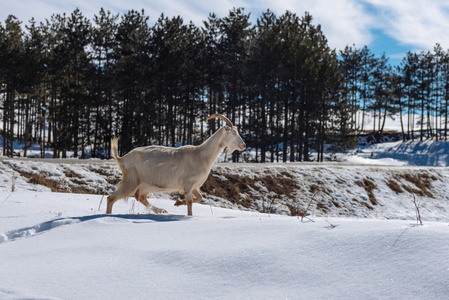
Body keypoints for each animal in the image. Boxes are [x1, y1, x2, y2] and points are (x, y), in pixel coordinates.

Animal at [106, 114, 245, 216]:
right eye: (233, 133)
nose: (243, 145)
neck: (201, 154)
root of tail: (122, 159)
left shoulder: (193, 186)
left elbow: (199, 198)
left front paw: (178, 202)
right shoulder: (188, 184)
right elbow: (190, 202)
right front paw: (189, 215)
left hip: (146, 184)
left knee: (140, 197)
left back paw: (161, 210)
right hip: (132, 181)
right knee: (111, 198)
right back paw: (108, 216)